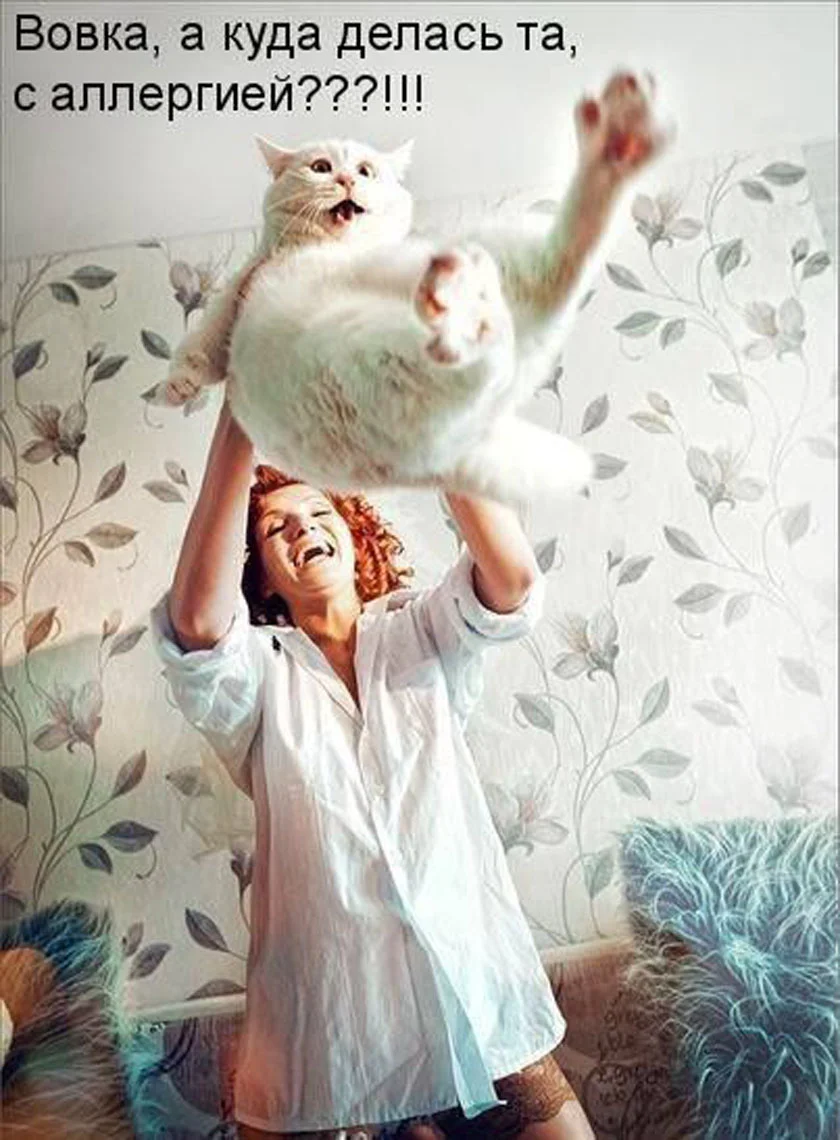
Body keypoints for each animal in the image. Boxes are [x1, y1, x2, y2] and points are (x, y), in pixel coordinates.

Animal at [165, 70, 670, 506]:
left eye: (365, 171)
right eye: (321, 167)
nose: (345, 180)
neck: (336, 247)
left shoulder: (252, 274)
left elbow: (207, 332)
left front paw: (177, 384)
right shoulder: (247, 276)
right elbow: (207, 335)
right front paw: (178, 386)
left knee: (549, 281)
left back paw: (616, 140)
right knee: (505, 338)